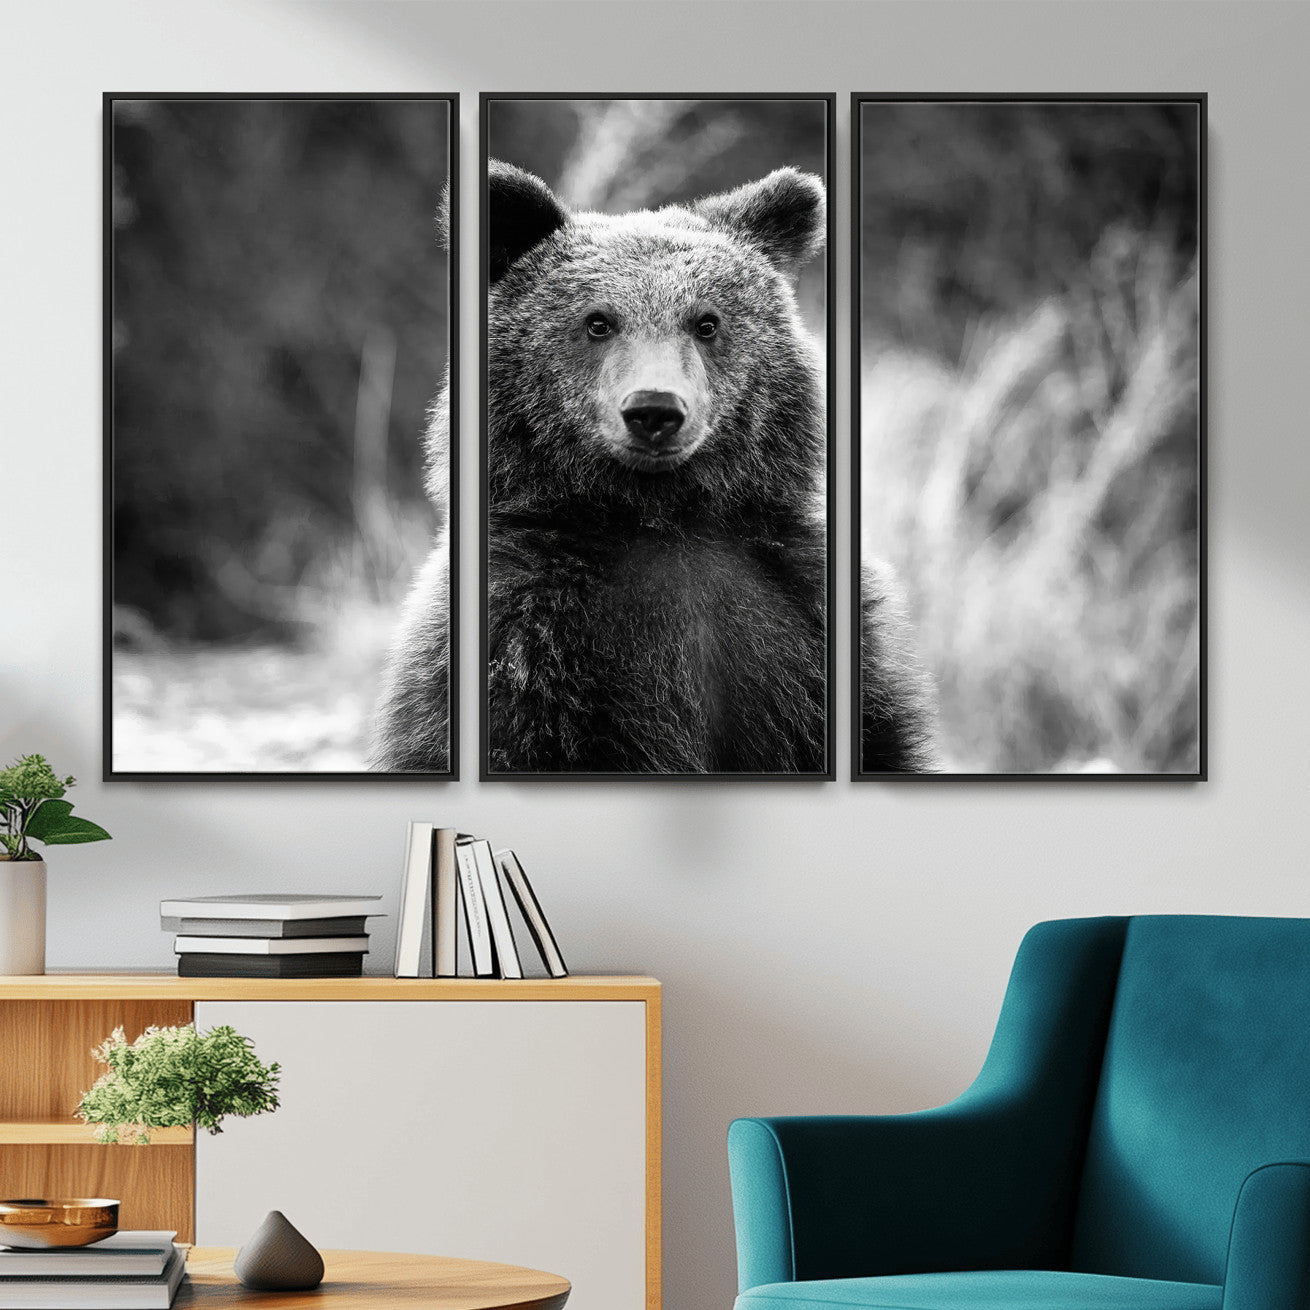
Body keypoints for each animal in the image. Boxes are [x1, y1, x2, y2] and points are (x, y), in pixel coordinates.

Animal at [371, 160, 937, 775]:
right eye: (598, 322)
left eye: (706, 322)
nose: (654, 410)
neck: (662, 517)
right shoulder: (528, 638)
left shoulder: (801, 618)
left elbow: (876, 735)